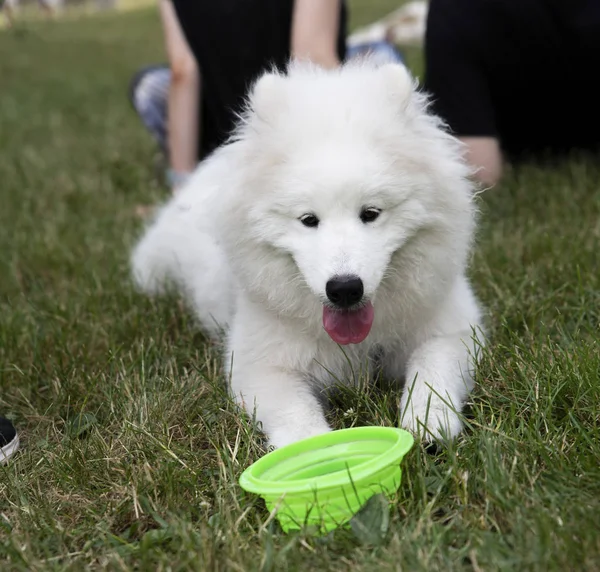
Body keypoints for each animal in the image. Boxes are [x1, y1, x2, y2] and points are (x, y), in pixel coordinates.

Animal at [130, 59, 482, 452]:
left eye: (371, 213)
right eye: (308, 220)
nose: (345, 288)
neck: (357, 346)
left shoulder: (454, 329)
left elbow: (432, 369)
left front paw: (428, 421)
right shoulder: (260, 365)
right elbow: (296, 414)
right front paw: (319, 454)